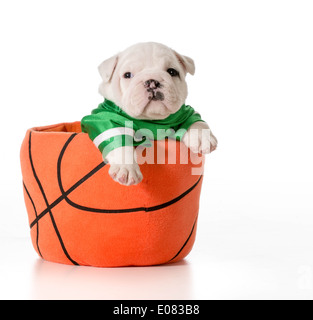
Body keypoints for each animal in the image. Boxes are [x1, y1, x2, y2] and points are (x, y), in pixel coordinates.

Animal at [90, 42, 216, 185]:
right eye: (127, 75)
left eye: (172, 72)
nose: (152, 81)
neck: (151, 119)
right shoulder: (103, 120)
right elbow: (119, 141)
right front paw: (126, 168)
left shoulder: (182, 113)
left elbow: (196, 122)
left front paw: (202, 137)